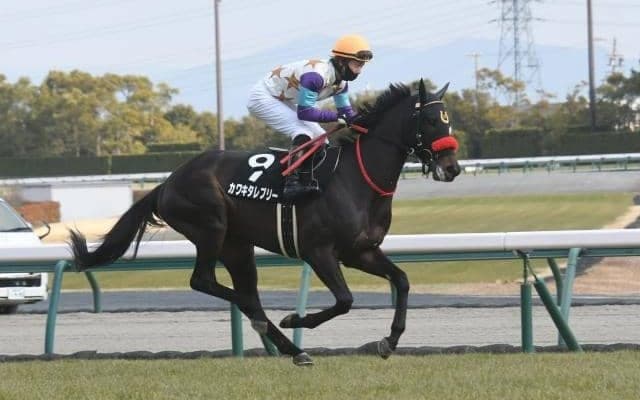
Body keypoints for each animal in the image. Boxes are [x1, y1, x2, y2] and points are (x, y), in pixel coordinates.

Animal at [69, 78, 461, 366]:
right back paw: (276, 328)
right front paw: (295, 319)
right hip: (211, 228)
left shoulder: (359, 251)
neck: (356, 178)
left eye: (448, 120)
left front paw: (388, 341)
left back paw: (293, 349)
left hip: (238, 246)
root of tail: (167, 183)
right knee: (210, 283)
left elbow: (402, 281)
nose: (453, 167)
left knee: (242, 291)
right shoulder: (319, 251)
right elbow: (345, 300)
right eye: (429, 121)